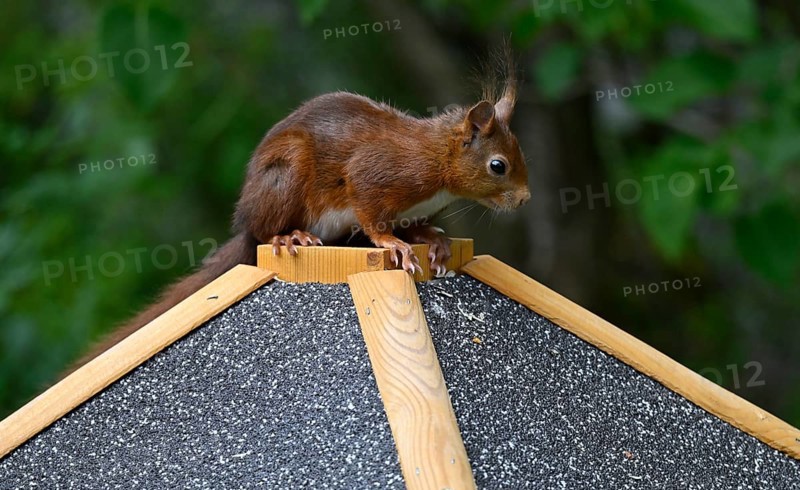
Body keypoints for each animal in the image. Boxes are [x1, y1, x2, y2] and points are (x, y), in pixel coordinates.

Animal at [69, 52, 530, 371]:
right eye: (498, 166)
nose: (524, 199)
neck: (437, 159)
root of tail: (246, 225)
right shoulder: (375, 173)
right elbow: (371, 215)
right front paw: (392, 244)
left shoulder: (414, 207)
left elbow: (416, 226)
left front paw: (431, 240)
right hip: (285, 178)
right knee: (267, 230)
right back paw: (287, 236)